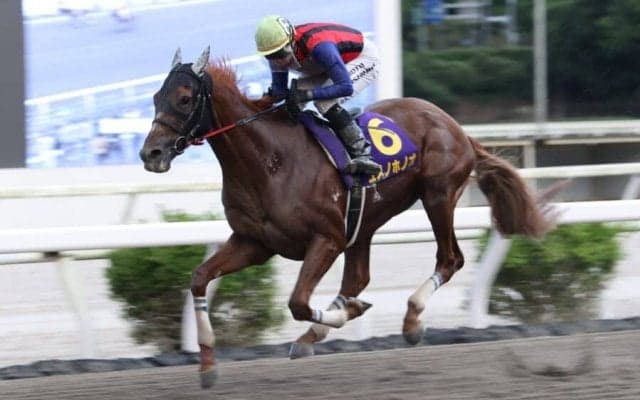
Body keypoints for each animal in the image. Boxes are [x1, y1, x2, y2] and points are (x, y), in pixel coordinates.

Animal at [139, 47, 554, 388]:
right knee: (358, 277)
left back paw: (410, 320)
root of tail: (457, 128)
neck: (269, 160)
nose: (150, 153)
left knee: (449, 258)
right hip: (366, 220)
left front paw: (344, 315)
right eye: (157, 97)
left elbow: (298, 302)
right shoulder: (253, 243)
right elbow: (198, 280)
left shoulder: (327, 238)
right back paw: (318, 333)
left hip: (438, 195)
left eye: (185, 98)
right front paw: (208, 365)